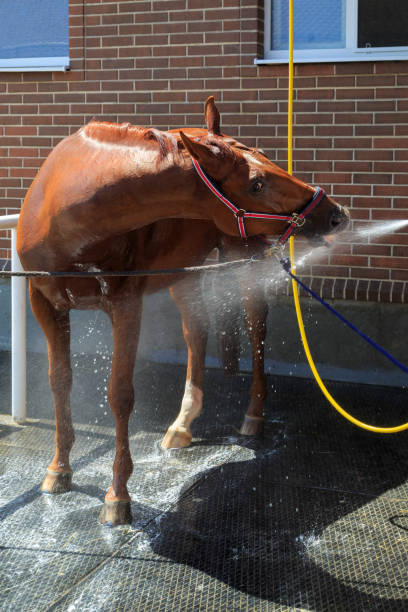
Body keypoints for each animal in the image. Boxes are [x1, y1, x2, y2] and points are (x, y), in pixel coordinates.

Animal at [16, 98, 348, 524]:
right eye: (256, 183)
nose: (335, 214)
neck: (63, 214)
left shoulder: (126, 304)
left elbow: (119, 394)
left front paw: (117, 496)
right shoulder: (43, 303)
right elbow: (59, 381)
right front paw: (59, 470)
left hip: (244, 256)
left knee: (255, 325)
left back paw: (253, 415)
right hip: (183, 272)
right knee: (197, 330)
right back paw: (182, 424)